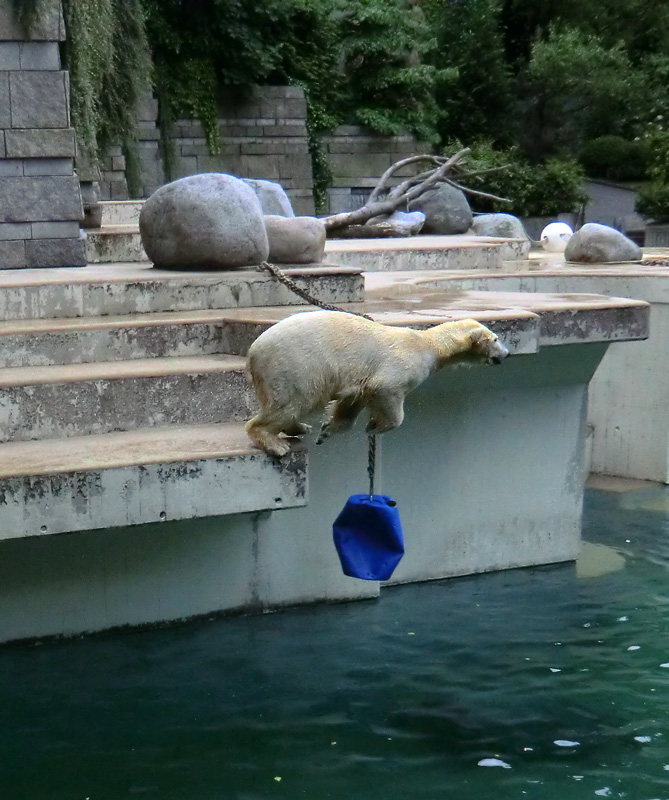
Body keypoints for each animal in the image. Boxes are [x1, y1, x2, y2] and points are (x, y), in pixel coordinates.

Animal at [244, 308, 506, 456]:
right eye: (495, 339)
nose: (506, 354)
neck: (429, 345)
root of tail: (253, 352)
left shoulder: (359, 383)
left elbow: (352, 402)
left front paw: (327, 429)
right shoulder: (401, 364)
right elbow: (386, 390)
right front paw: (375, 426)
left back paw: (300, 427)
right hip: (296, 367)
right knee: (292, 403)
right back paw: (275, 443)